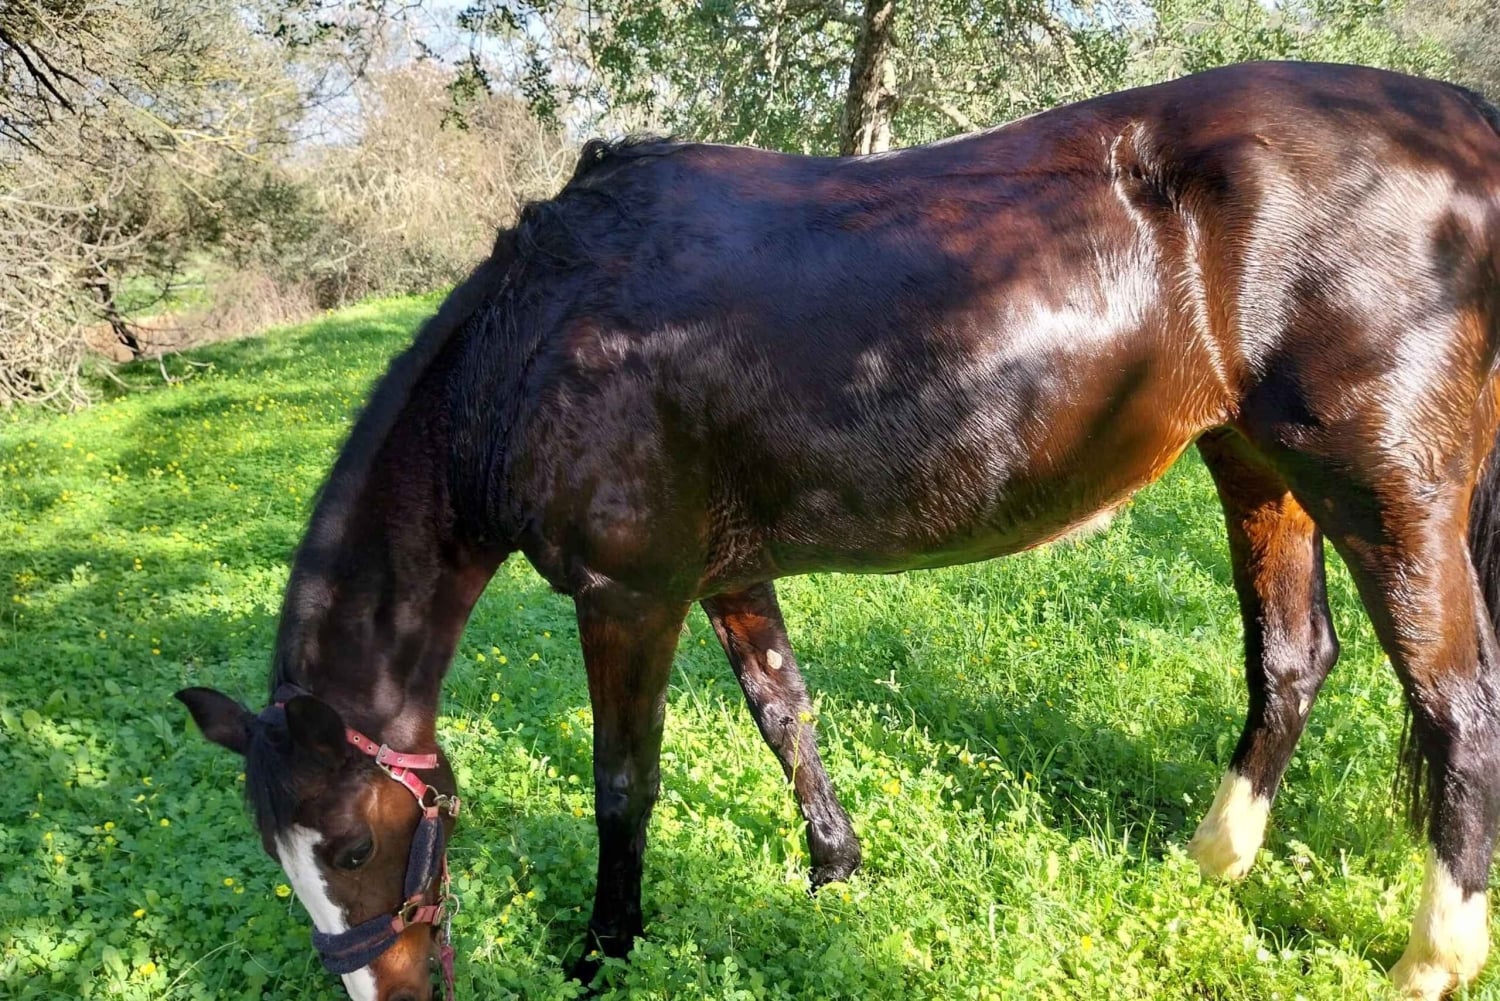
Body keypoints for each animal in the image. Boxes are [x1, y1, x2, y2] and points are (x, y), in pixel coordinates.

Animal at [175, 59, 1500, 1001]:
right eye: (282, 859)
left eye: (353, 846)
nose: (387, 994)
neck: (531, 351)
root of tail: (1465, 127)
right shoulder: (725, 573)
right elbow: (783, 713)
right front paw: (833, 863)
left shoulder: (628, 595)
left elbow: (624, 781)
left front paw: (606, 945)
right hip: (1256, 462)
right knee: (1293, 657)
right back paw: (1211, 859)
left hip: (1387, 489)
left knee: (1456, 700)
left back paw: (1431, 957)